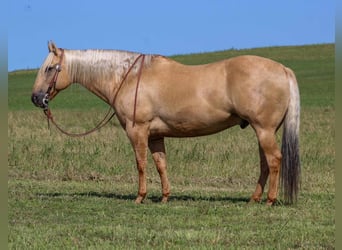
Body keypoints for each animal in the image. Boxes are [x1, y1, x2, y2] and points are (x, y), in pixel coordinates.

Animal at [31, 41, 300, 205]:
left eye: (50, 68)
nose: (36, 98)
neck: (127, 77)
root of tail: (283, 69)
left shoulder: (137, 130)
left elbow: (140, 163)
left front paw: (140, 197)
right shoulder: (155, 135)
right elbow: (161, 164)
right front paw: (164, 197)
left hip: (264, 130)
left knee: (274, 160)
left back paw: (269, 200)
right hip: (263, 131)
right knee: (265, 163)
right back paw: (254, 199)